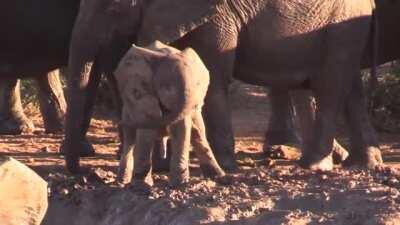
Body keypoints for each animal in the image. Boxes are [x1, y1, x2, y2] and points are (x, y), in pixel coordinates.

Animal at [114, 41, 225, 187]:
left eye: (197, 84)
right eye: (167, 87)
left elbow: (181, 128)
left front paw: (179, 184)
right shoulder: (142, 93)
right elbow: (147, 129)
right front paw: (141, 185)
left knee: (198, 134)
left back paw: (219, 177)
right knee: (130, 139)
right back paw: (123, 182)